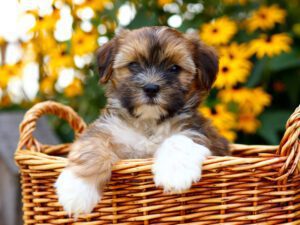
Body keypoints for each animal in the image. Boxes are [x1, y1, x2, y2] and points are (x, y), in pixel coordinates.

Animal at [55, 25, 229, 216]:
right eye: (134, 65)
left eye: (174, 68)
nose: (151, 88)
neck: (148, 123)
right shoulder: (108, 129)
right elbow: (91, 147)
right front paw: (77, 189)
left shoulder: (197, 131)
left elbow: (178, 140)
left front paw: (175, 172)